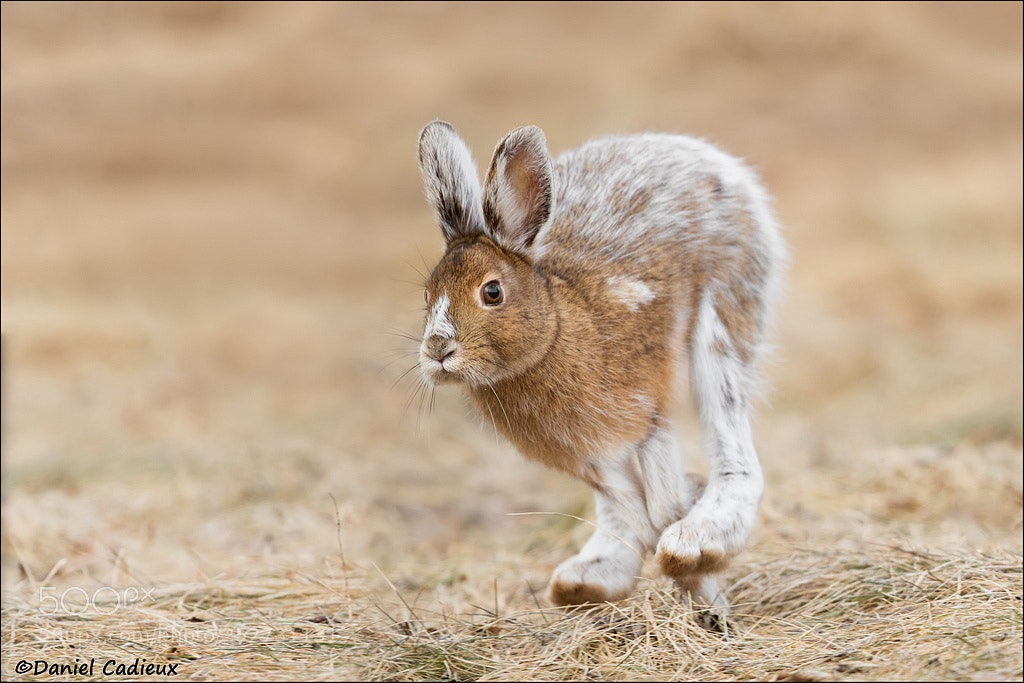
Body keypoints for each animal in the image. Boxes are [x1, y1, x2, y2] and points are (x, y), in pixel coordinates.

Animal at [415, 120, 785, 626]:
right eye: (427, 294)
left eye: (492, 292)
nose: (437, 349)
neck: (554, 327)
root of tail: (714, 165)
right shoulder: (594, 455)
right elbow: (630, 509)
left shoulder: (647, 419)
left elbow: (663, 505)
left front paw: (702, 594)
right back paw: (587, 579)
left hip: (724, 314)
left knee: (734, 447)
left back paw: (697, 541)